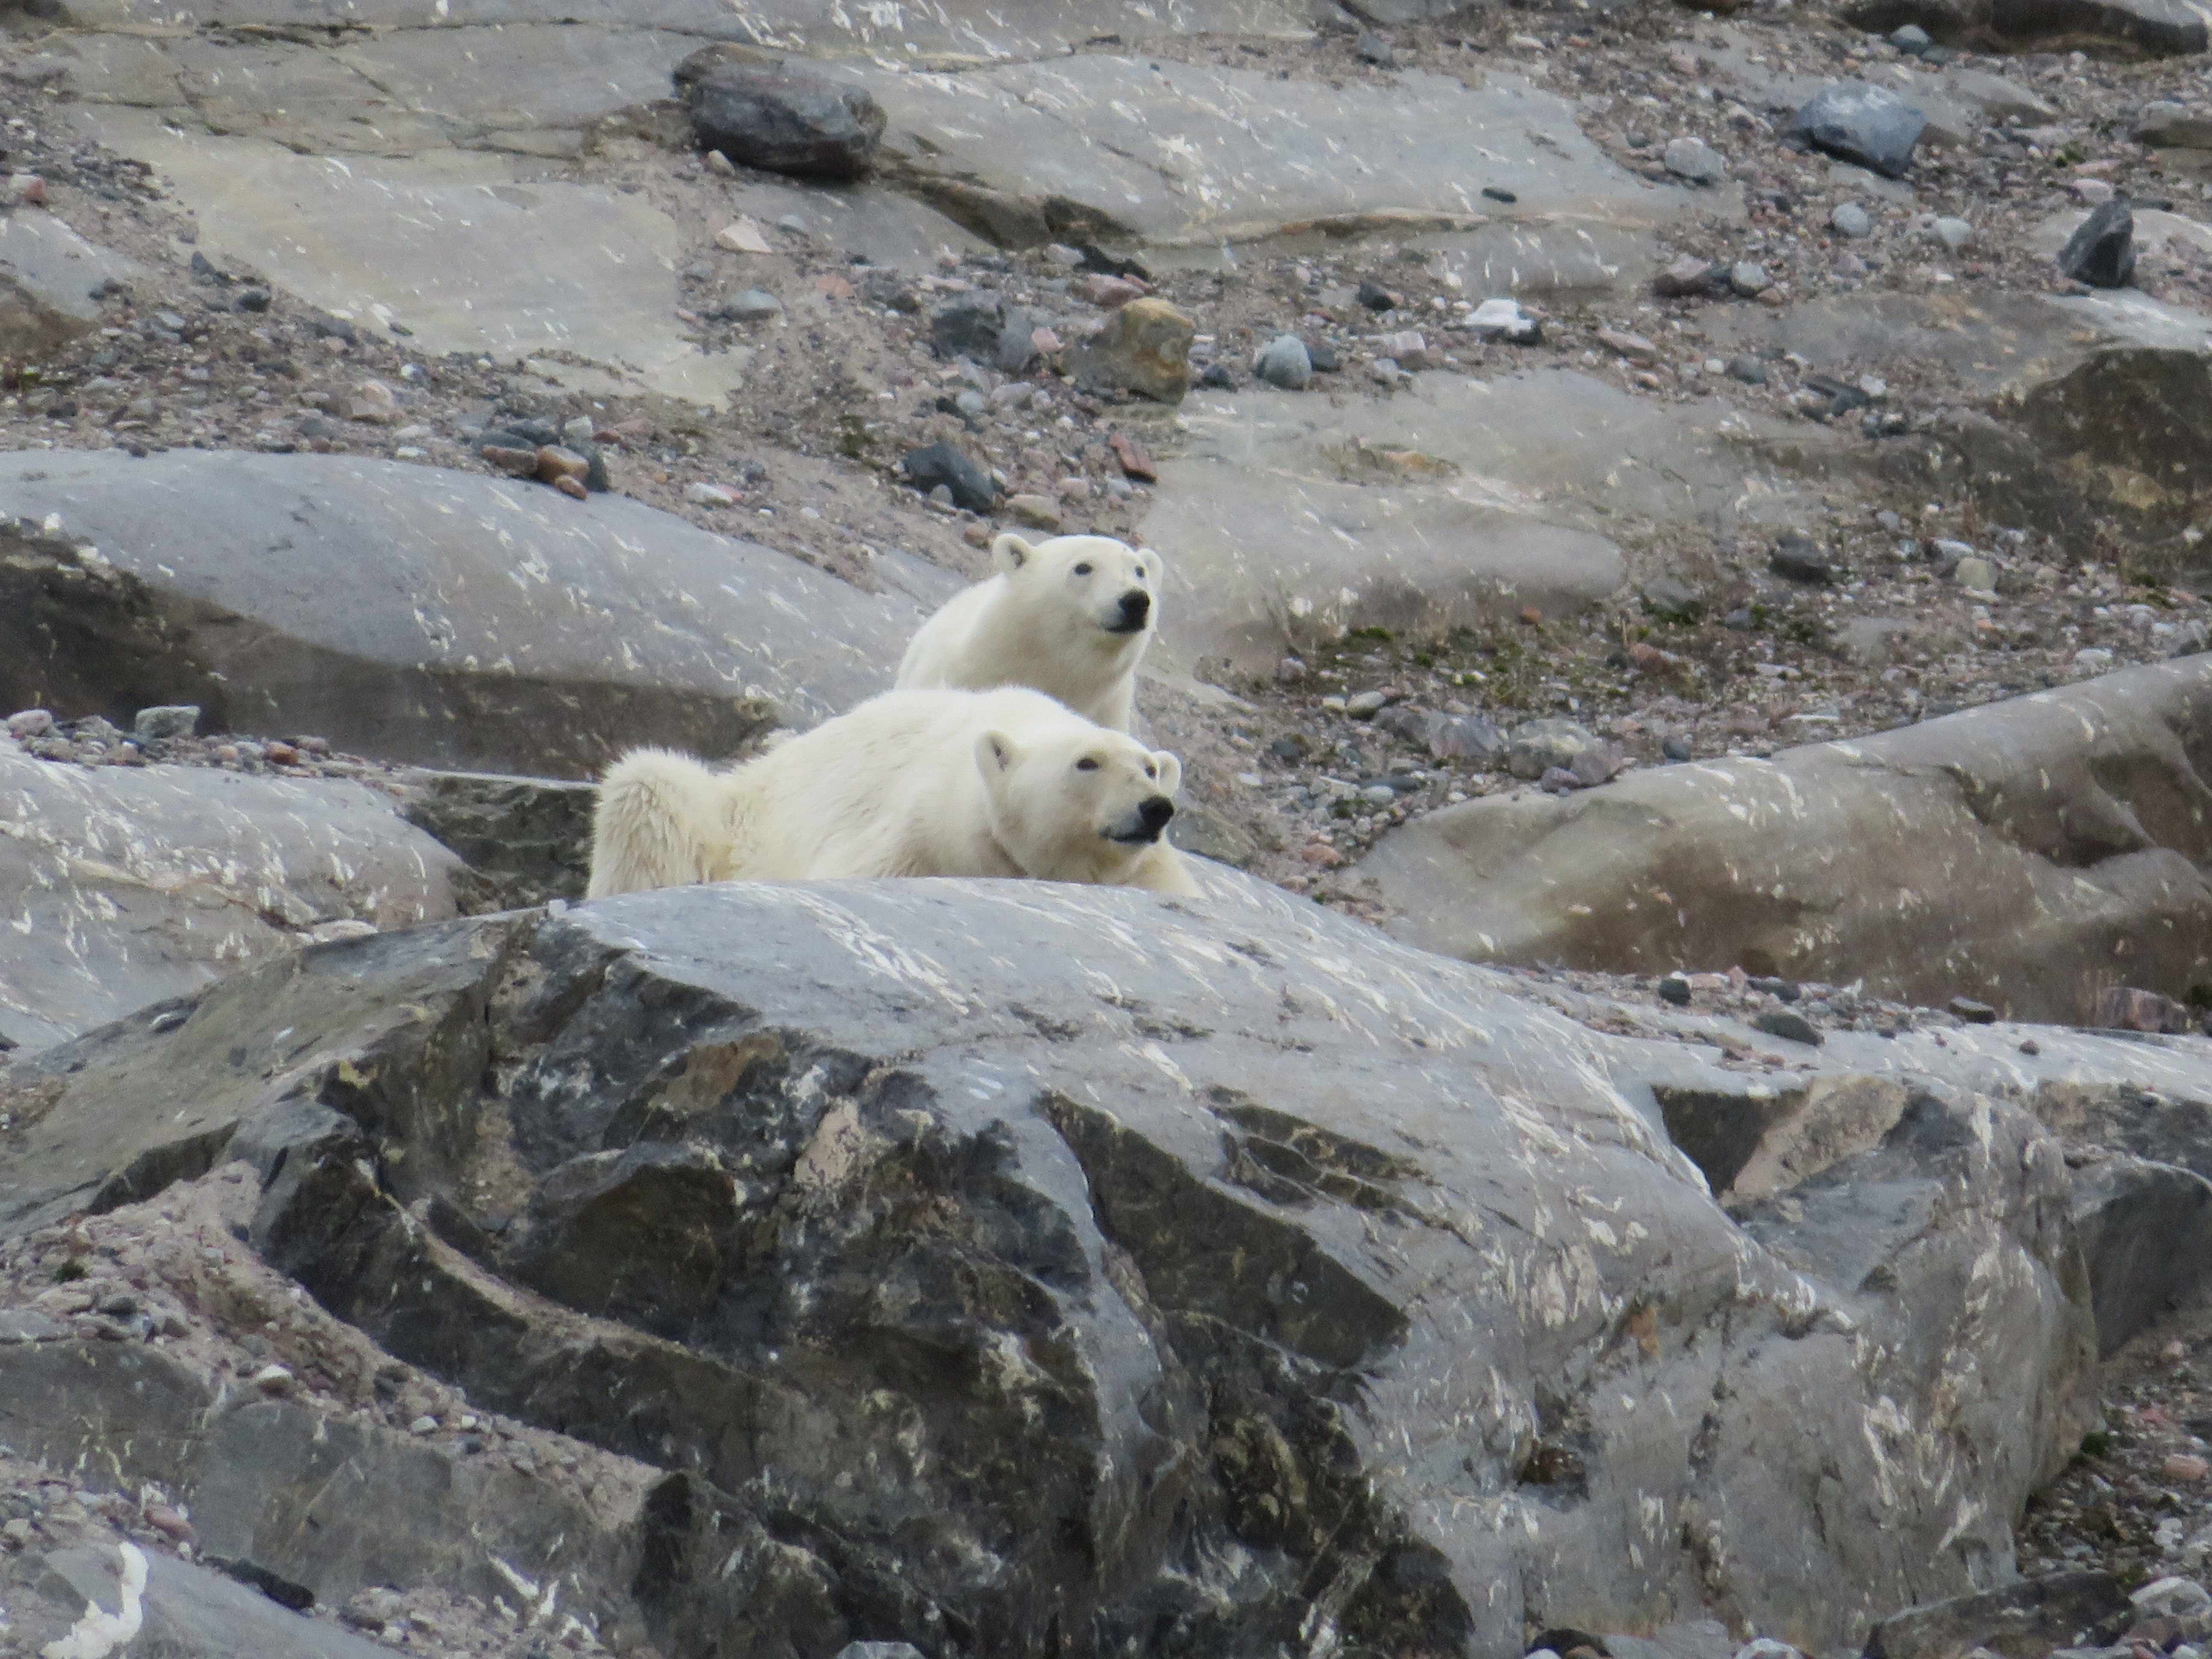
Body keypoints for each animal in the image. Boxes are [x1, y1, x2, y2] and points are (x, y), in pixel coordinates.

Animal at [588, 681, 1203, 902]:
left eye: (1151, 768)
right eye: (1087, 762)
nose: (1155, 808)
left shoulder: (1152, 875)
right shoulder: (918, 834)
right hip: (733, 816)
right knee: (646, 787)